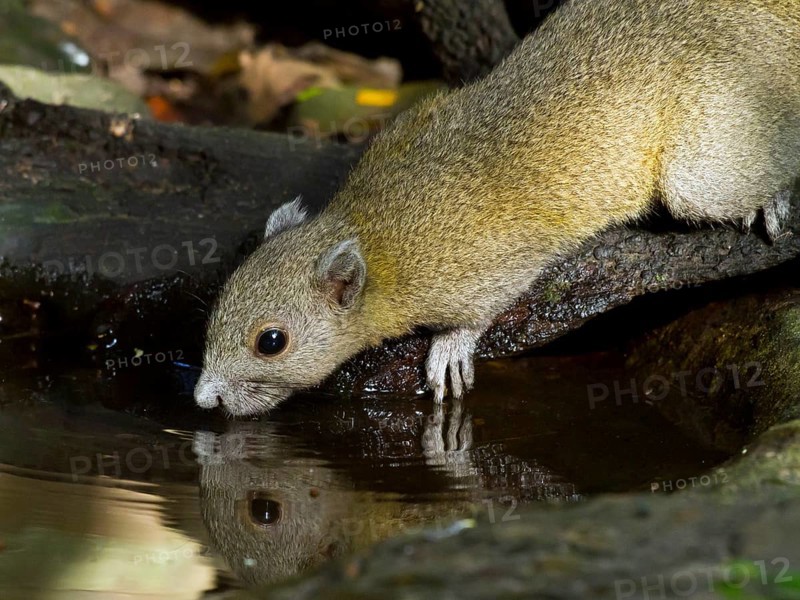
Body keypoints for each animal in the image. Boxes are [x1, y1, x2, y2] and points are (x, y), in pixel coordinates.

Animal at [196, 0, 800, 416]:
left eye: (271, 342)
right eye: (218, 303)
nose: (203, 400)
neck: (377, 233)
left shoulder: (481, 268)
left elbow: (481, 312)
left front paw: (450, 348)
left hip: (702, 167)